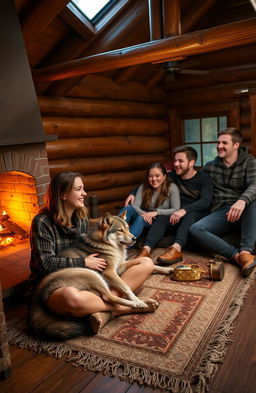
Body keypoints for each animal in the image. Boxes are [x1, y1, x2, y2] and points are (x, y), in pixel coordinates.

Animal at [27, 213, 172, 338]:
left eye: (128, 228)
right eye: (120, 230)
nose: (134, 238)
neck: (107, 244)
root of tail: (39, 294)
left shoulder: (120, 267)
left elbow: (149, 262)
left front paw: (167, 269)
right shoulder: (109, 272)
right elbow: (126, 287)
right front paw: (135, 299)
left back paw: (147, 303)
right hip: (91, 274)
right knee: (108, 297)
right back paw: (138, 303)